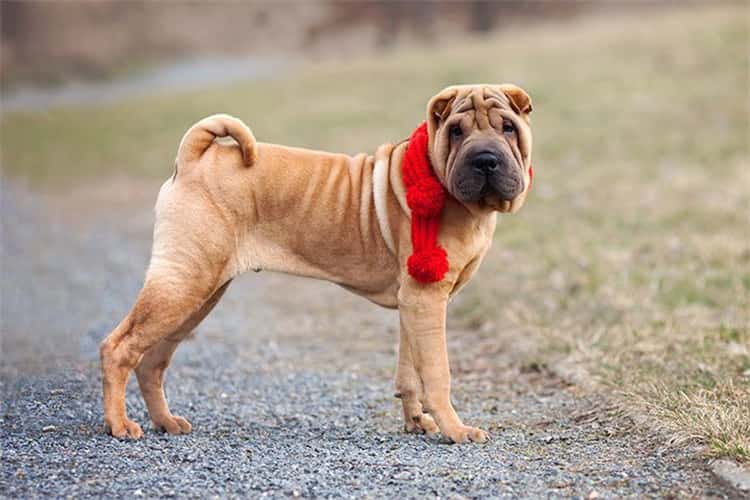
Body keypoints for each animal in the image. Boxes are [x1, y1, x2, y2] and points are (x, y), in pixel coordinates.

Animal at [100, 83, 536, 446]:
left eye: (508, 128)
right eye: (457, 132)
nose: (485, 160)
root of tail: (194, 158)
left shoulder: (414, 303)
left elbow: (409, 370)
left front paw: (417, 421)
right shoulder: (426, 298)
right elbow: (437, 372)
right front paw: (456, 429)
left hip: (198, 292)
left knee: (152, 361)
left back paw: (166, 422)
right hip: (185, 282)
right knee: (119, 348)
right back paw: (120, 425)